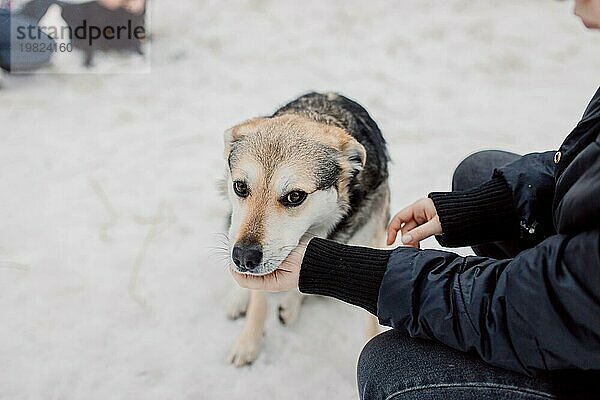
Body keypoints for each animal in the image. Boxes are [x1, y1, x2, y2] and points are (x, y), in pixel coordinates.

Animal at [223, 92, 392, 368]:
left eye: (295, 196)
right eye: (240, 186)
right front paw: (248, 343)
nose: (244, 258)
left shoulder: (374, 239)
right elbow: (259, 304)